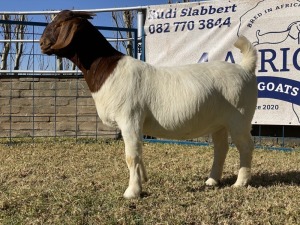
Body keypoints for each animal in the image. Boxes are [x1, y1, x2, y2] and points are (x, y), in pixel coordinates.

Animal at [39, 10, 258, 199]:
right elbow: (138, 151)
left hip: (239, 117)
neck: (107, 70)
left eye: (58, 24)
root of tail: (245, 69)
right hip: (219, 123)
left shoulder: (129, 118)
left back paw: (240, 182)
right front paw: (143, 179)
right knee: (221, 148)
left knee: (245, 146)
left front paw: (132, 192)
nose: (41, 43)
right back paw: (212, 180)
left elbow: (131, 155)